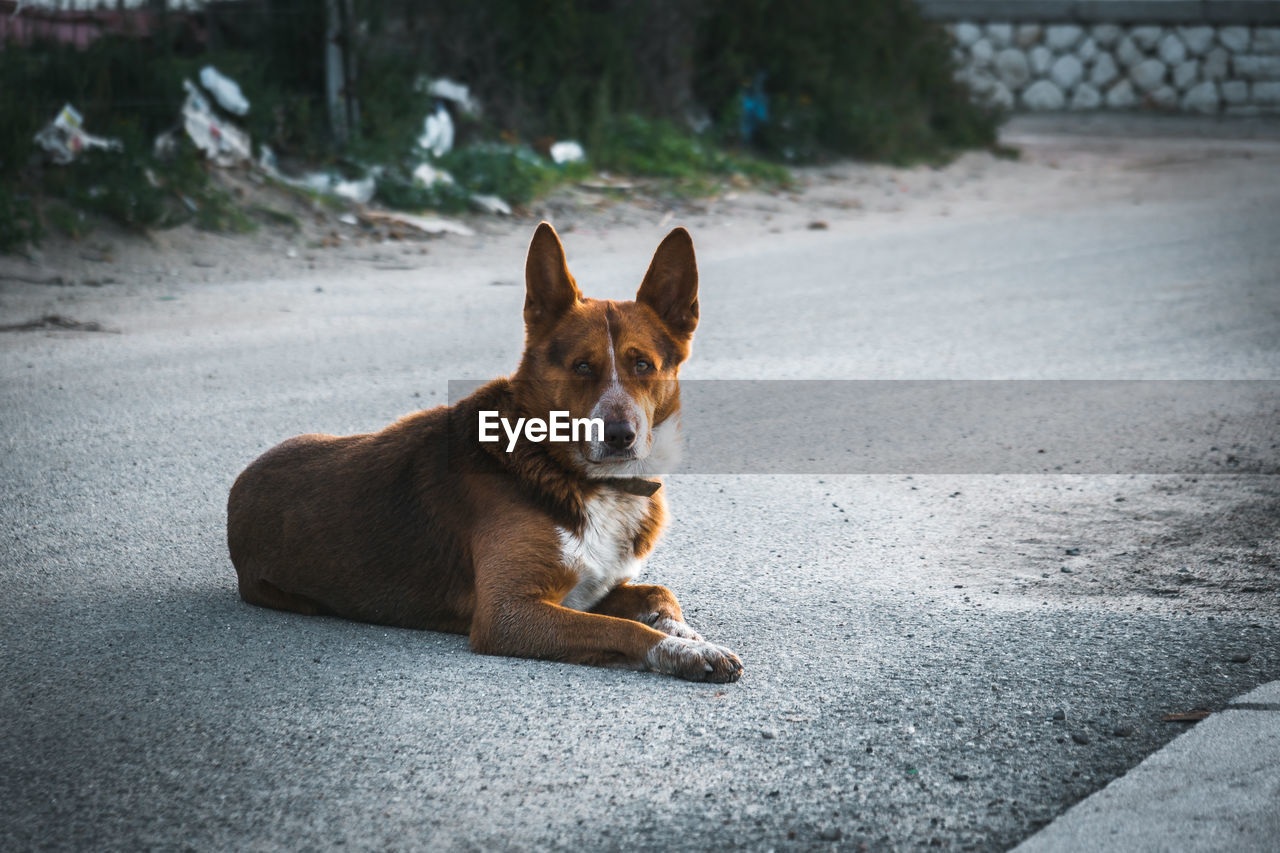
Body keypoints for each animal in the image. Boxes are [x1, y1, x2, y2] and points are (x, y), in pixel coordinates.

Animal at [229, 222, 747, 681]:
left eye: (643, 365)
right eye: (581, 367)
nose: (620, 435)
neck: (571, 471)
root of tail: (243, 479)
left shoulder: (593, 588)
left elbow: (659, 593)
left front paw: (687, 634)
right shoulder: (507, 614)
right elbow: (621, 630)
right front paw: (684, 651)